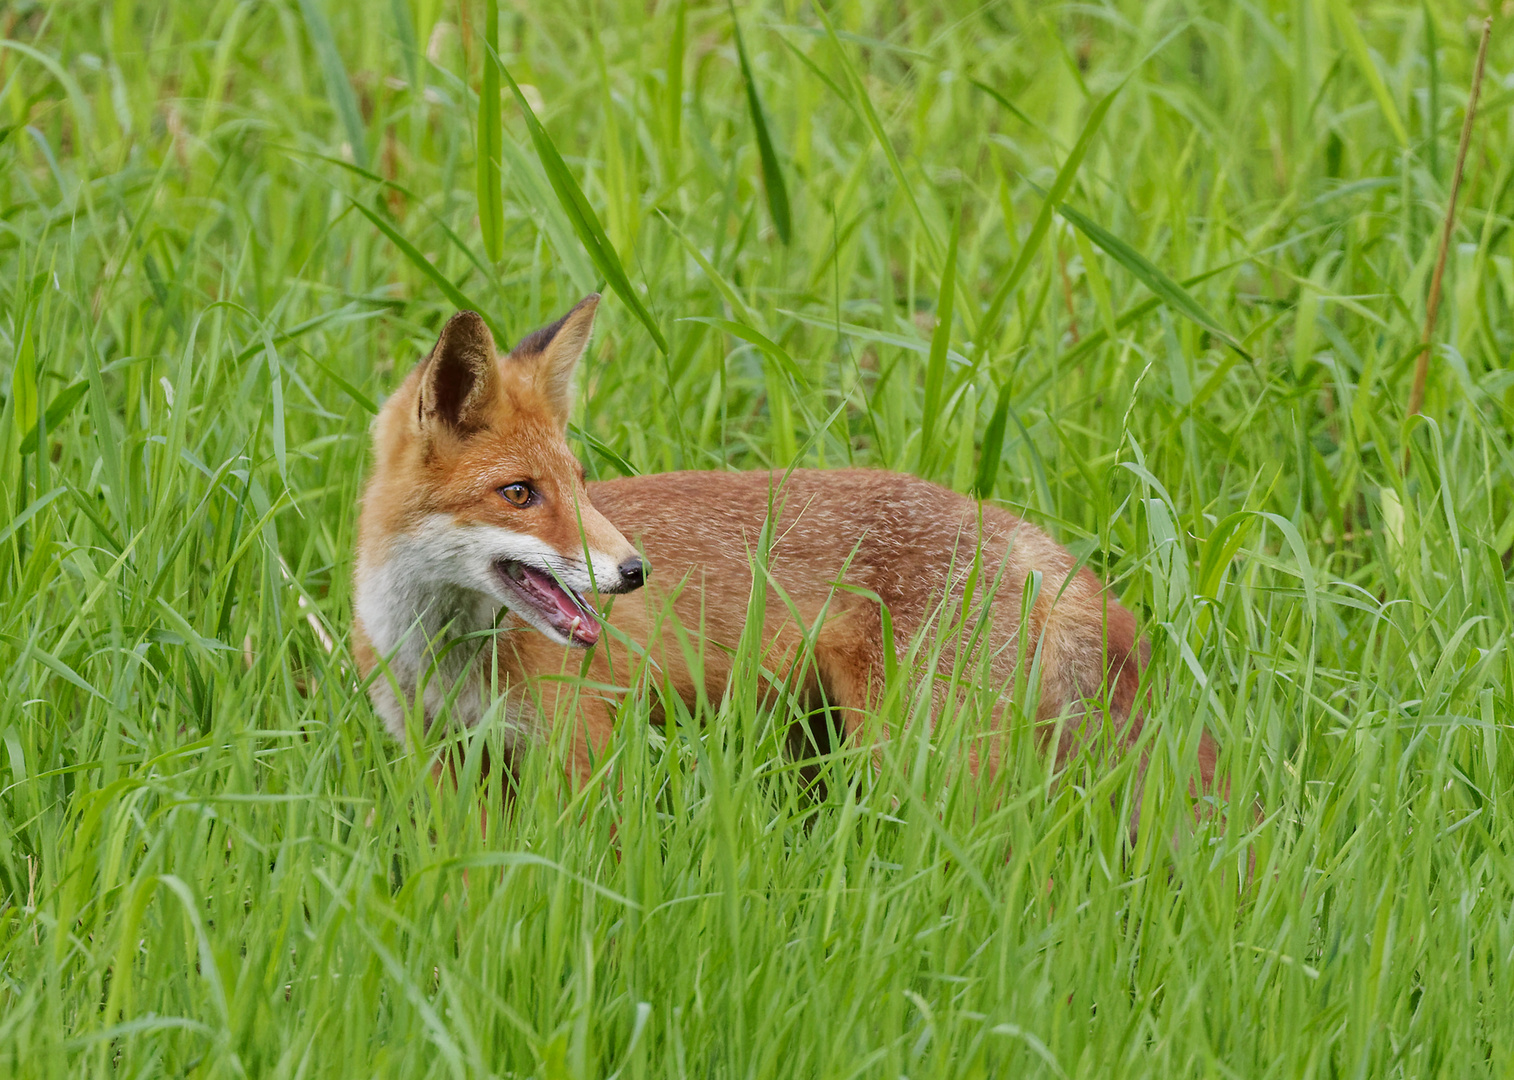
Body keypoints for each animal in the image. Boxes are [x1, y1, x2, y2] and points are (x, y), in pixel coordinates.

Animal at [351, 295, 1217, 799]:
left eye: (581, 483)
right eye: (520, 493)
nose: (633, 571)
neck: (443, 658)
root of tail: (1024, 536)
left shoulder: (585, 757)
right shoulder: (441, 767)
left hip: (917, 757)